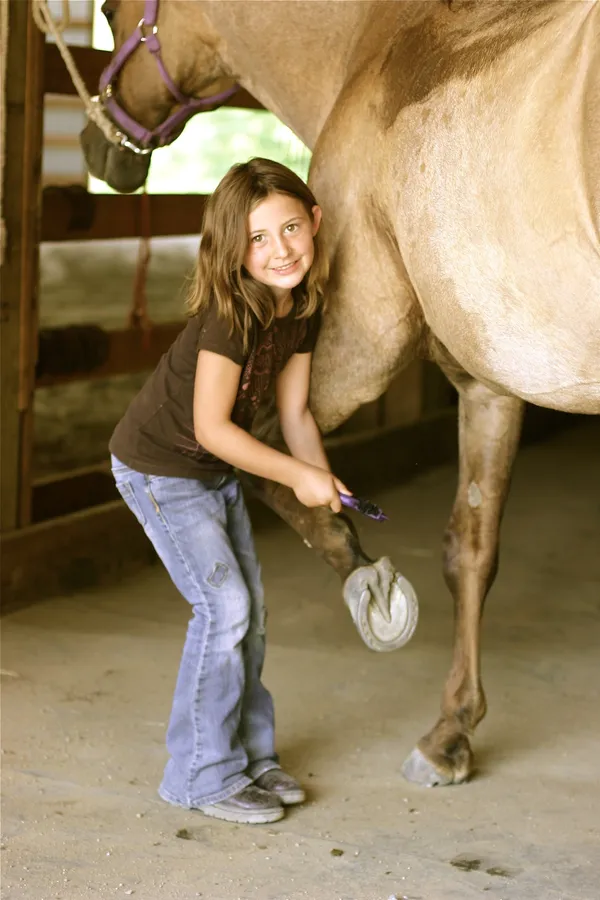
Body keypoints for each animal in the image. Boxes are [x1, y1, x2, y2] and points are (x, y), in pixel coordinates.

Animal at [80, 0, 600, 787]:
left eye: (111, 14)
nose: (94, 145)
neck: (377, 44)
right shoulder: (489, 381)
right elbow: (471, 550)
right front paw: (452, 732)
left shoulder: (363, 339)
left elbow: (272, 457)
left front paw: (363, 578)